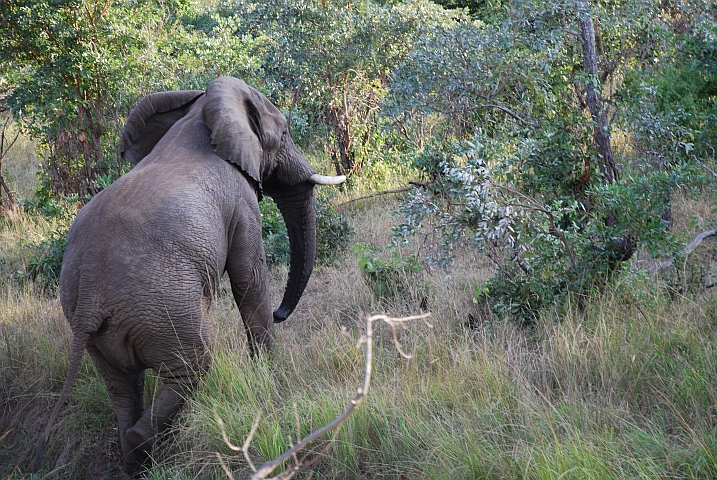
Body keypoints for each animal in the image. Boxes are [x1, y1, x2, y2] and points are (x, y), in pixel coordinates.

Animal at [33, 76, 345, 475]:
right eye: (286, 132)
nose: (281, 313)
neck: (201, 112)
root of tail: (90, 297)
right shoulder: (241, 202)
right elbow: (249, 276)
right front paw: (270, 377)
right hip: (163, 309)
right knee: (193, 365)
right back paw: (148, 447)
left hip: (93, 328)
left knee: (123, 389)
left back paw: (135, 463)